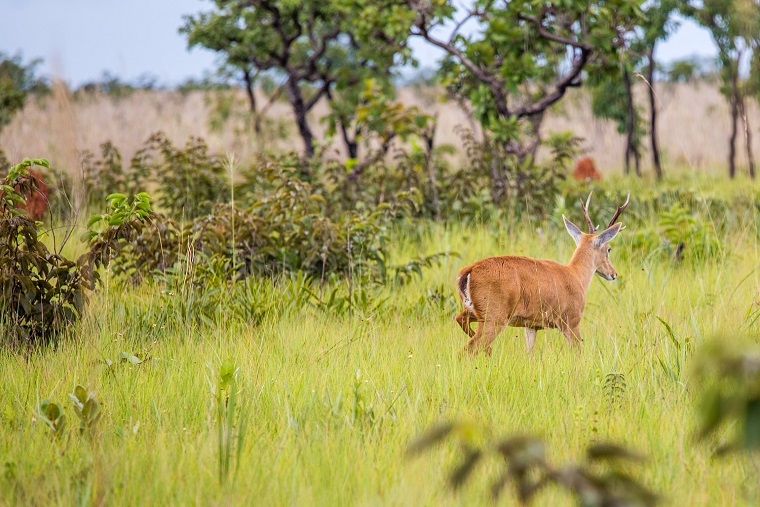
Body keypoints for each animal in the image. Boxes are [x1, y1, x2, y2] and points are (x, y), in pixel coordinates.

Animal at [458, 192, 628, 356]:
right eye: (609, 249)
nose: (614, 273)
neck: (577, 275)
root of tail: (468, 270)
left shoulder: (531, 325)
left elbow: (530, 354)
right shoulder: (571, 320)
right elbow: (579, 352)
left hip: (477, 311)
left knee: (460, 320)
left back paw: (489, 351)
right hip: (494, 316)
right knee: (468, 348)